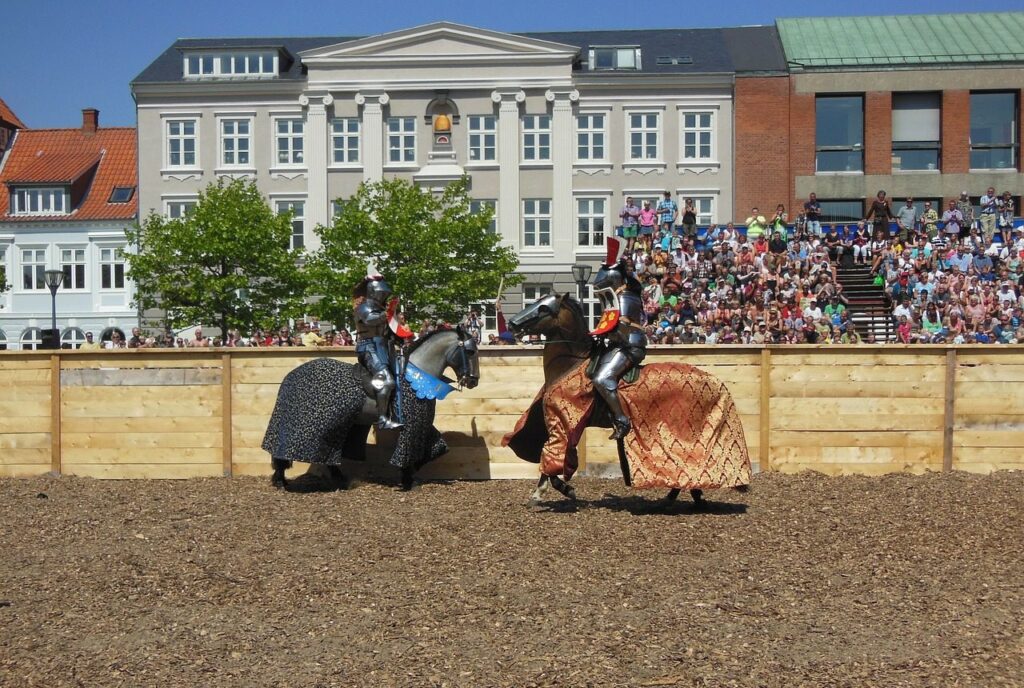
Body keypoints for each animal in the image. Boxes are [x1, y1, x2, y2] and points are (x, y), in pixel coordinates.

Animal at [264, 325, 479, 489]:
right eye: (469, 352)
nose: (473, 381)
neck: (416, 375)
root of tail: (290, 376)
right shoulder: (413, 424)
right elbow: (408, 452)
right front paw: (407, 478)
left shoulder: (423, 423)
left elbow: (438, 448)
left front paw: (411, 473)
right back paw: (282, 480)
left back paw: (338, 479)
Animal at [503, 292, 753, 507]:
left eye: (544, 308)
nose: (512, 324)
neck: (571, 363)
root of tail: (717, 381)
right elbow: (556, 454)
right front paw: (549, 491)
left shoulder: (564, 423)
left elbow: (554, 453)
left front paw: (554, 492)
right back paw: (681, 497)